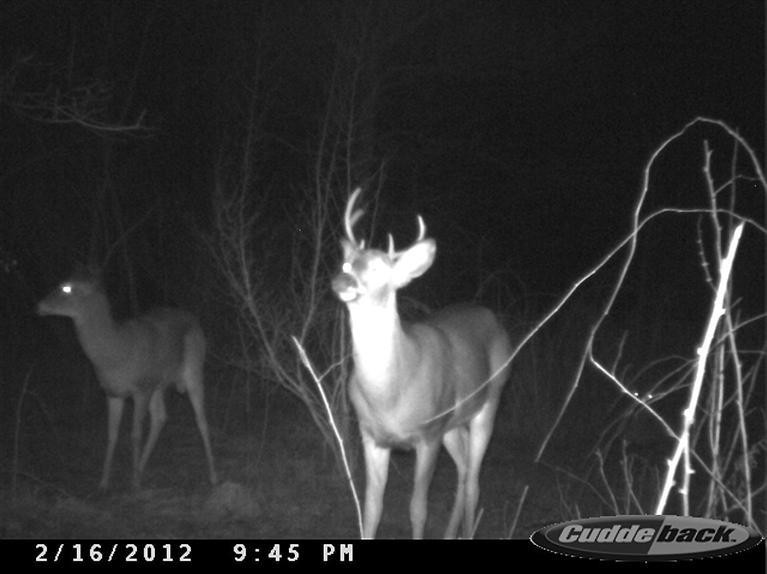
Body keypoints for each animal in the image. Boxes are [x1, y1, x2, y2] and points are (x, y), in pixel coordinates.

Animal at [36, 266, 218, 490]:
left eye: (66, 288)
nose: (39, 305)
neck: (116, 353)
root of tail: (194, 319)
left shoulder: (141, 389)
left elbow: (134, 434)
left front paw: (134, 484)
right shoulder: (112, 392)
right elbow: (112, 435)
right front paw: (104, 482)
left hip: (193, 368)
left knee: (201, 420)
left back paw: (212, 476)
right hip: (158, 384)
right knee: (160, 417)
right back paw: (140, 468)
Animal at [332, 188, 512, 539]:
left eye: (379, 269)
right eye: (348, 262)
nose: (342, 280)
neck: (390, 394)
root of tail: (492, 318)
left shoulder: (427, 434)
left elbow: (418, 509)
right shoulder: (371, 435)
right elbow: (371, 508)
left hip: (489, 402)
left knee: (473, 480)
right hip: (451, 424)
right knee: (463, 469)